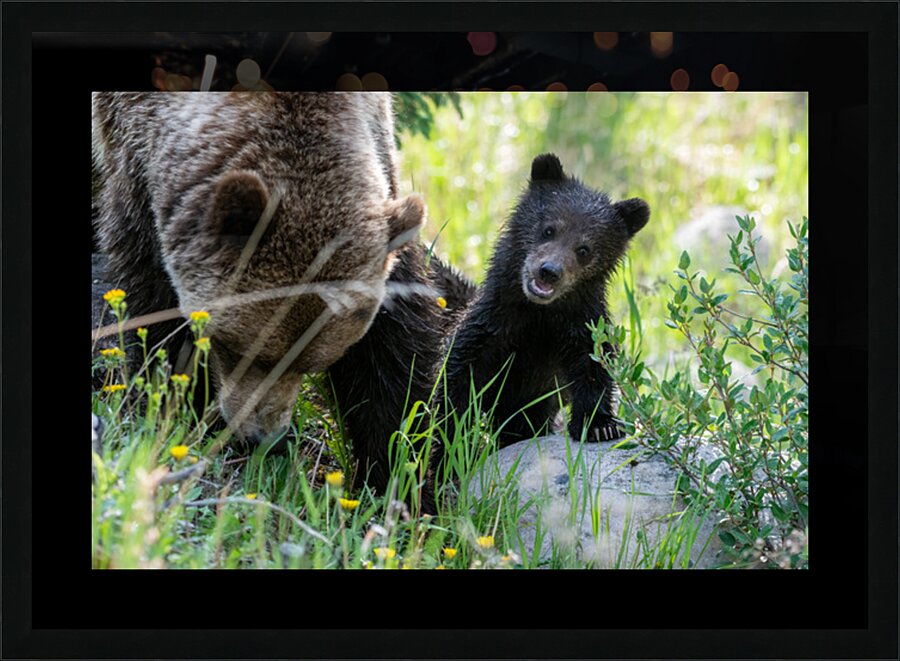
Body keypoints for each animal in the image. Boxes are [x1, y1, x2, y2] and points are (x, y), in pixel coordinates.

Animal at [92, 92, 425, 446]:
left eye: (310, 363)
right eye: (236, 349)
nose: (265, 437)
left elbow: (396, 337)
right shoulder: (135, 162)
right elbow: (154, 296)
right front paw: (181, 402)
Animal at [441, 153, 650, 448]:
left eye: (584, 249)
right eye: (549, 229)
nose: (549, 271)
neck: (539, 315)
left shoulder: (578, 325)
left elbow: (593, 366)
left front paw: (600, 425)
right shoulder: (492, 325)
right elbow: (457, 376)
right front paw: (450, 433)